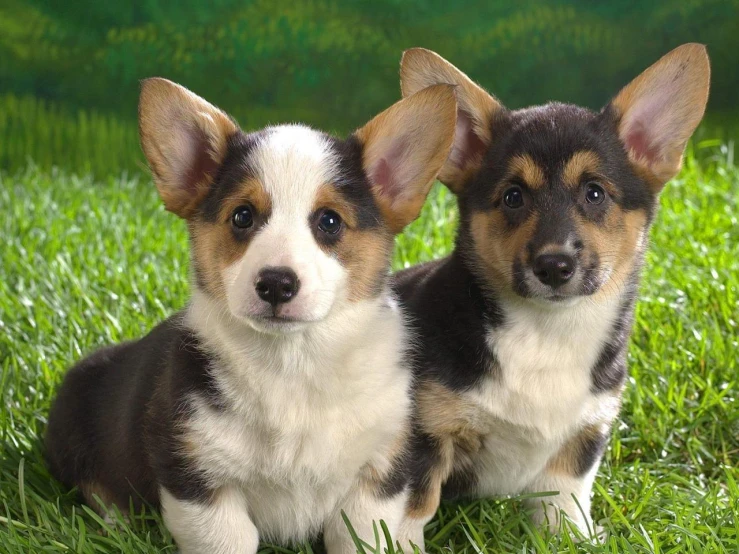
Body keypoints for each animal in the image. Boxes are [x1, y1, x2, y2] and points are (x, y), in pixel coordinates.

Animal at [44, 77, 456, 552]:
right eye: (242, 216)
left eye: (330, 221)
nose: (276, 284)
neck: (292, 363)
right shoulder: (198, 480)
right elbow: (228, 538)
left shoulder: (377, 476)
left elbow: (362, 535)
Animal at [394, 43, 712, 544]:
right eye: (513, 196)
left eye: (595, 193)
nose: (554, 266)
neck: (548, 331)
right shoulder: (423, 435)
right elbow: (410, 510)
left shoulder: (583, 436)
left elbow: (564, 503)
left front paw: (577, 540)